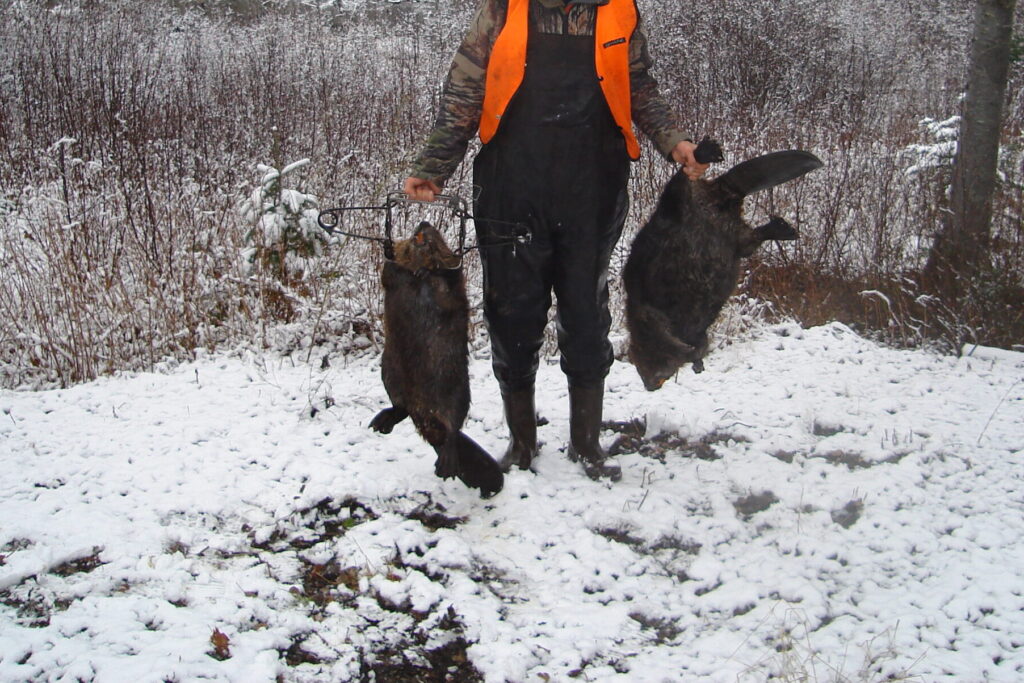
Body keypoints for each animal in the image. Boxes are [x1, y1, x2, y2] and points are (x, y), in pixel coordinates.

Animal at [368, 222, 503, 493]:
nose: (424, 224)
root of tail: (428, 420)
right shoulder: (392, 277)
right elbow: (388, 272)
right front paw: (391, 251)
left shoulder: (453, 282)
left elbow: (449, 276)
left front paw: (424, 270)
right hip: (389, 370)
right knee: (400, 408)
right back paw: (381, 422)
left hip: (456, 389)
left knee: (453, 425)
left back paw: (446, 464)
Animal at [618, 144, 819, 389]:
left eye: (639, 361)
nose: (650, 385)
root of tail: (726, 190)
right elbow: (699, 343)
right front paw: (696, 361)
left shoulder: (645, 310)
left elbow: (663, 330)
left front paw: (685, 351)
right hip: (733, 235)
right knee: (748, 240)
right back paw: (784, 228)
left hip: (674, 204)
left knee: (680, 182)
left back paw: (707, 151)